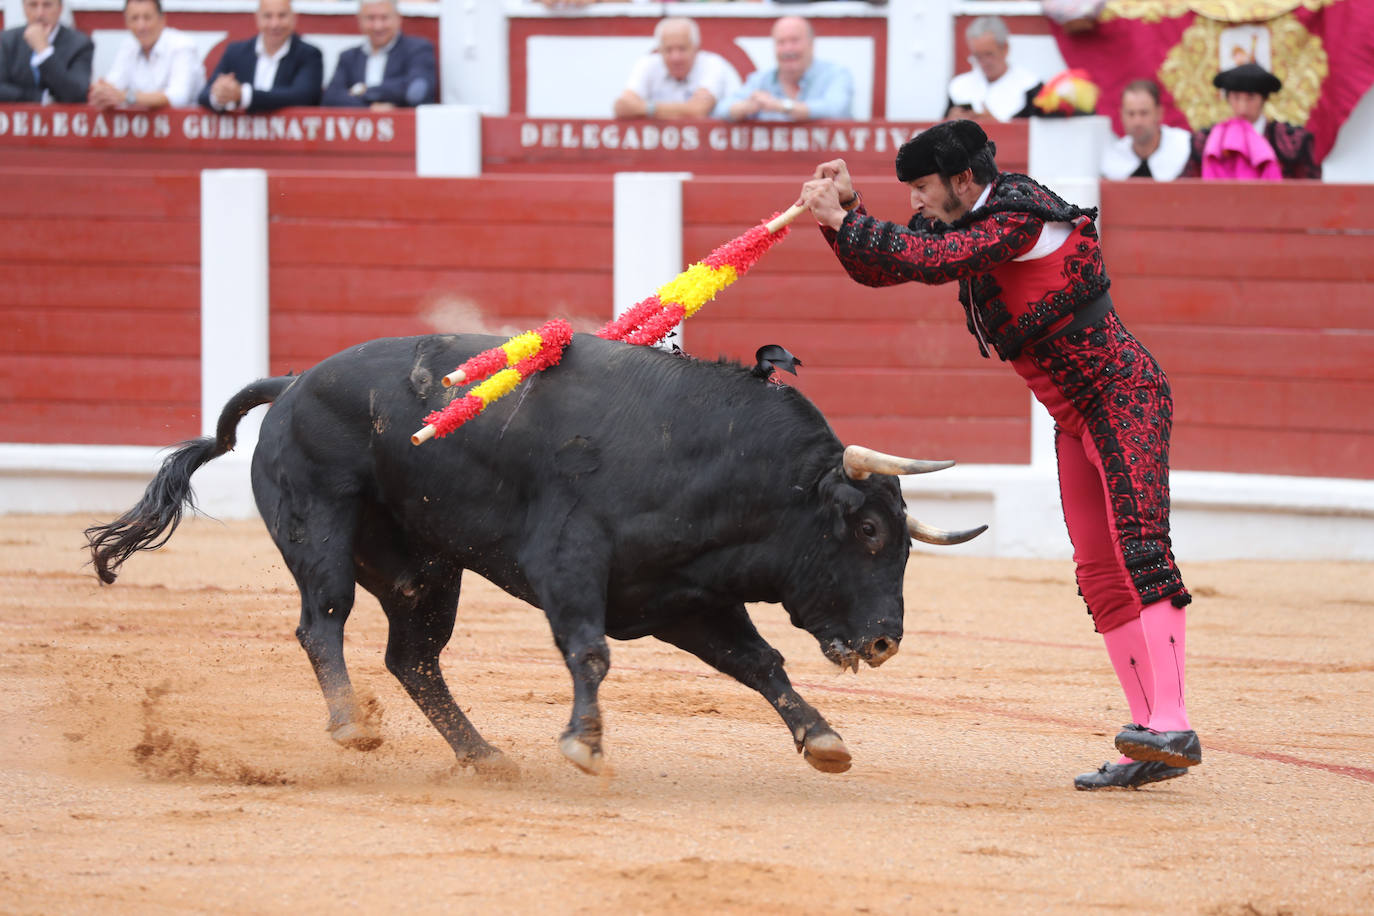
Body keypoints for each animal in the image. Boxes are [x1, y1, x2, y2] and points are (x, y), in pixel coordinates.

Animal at [85, 333, 983, 780]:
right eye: (870, 534)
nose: (885, 639)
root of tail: (294, 382)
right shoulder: (569, 565)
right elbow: (588, 652)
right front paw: (584, 744)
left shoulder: (682, 597)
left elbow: (760, 663)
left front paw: (823, 740)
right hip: (319, 527)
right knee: (323, 623)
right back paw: (351, 726)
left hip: (424, 572)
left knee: (412, 657)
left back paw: (482, 756)